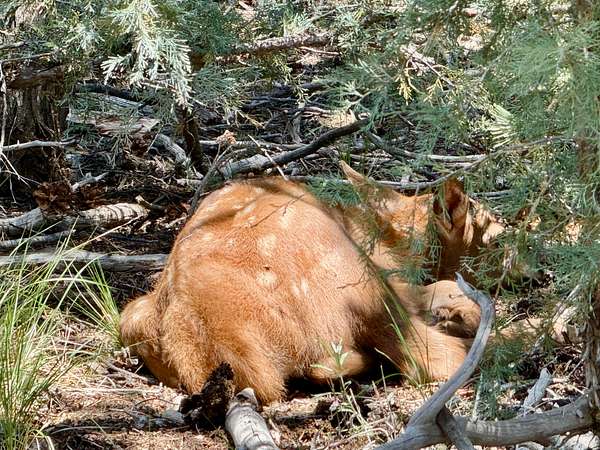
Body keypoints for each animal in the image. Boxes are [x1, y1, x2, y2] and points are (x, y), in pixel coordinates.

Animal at [119, 162, 503, 403]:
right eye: (495, 238)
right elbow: (442, 292)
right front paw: (459, 310)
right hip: (358, 286)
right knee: (435, 357)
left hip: (132, 315)